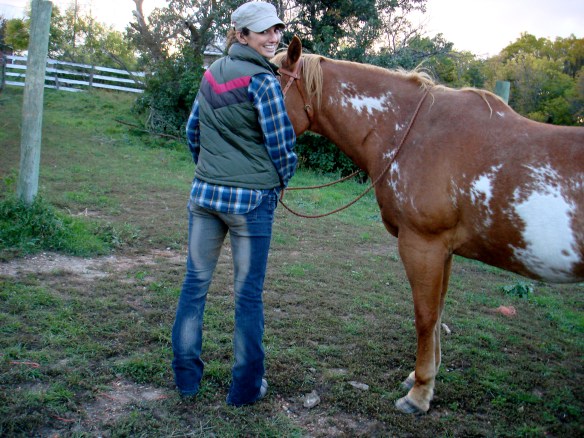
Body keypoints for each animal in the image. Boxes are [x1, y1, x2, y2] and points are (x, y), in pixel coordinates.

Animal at [272, 36, 584, 414]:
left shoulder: (423, 245)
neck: (412, 134)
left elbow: (425, 317)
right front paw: (423, 378)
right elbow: (437, 314)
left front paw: (418, 394)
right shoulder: (444, 251)